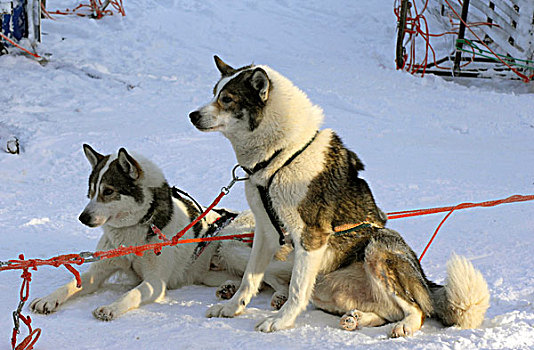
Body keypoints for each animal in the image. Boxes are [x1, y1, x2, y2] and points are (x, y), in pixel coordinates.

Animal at [29, 144, 288, 320]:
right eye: (90, 192)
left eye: (108, 191)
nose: (83, 217)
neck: (132, 235)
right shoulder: (99, 271)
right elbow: (71, 285)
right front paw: (48, 299)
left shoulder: (155, 281)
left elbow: (132, 294)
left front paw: (111, 307)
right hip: (208, 272)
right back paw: (229, 288)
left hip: (231, 247)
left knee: (271, 277)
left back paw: (280, 297)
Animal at [187, 56, 490, 336]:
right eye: (215, 93)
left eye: (227, 99)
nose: (192, 115)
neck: (282, 155)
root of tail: (425, 282)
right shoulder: (266, 232)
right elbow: (249, 279)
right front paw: (232, 308)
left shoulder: (311, 236)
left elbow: (296, 290)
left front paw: (281, 321)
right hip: (325, 285)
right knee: (384, 312)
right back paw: (356, 318)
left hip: (378, 247)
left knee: (417, 309)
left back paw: (403, 325)